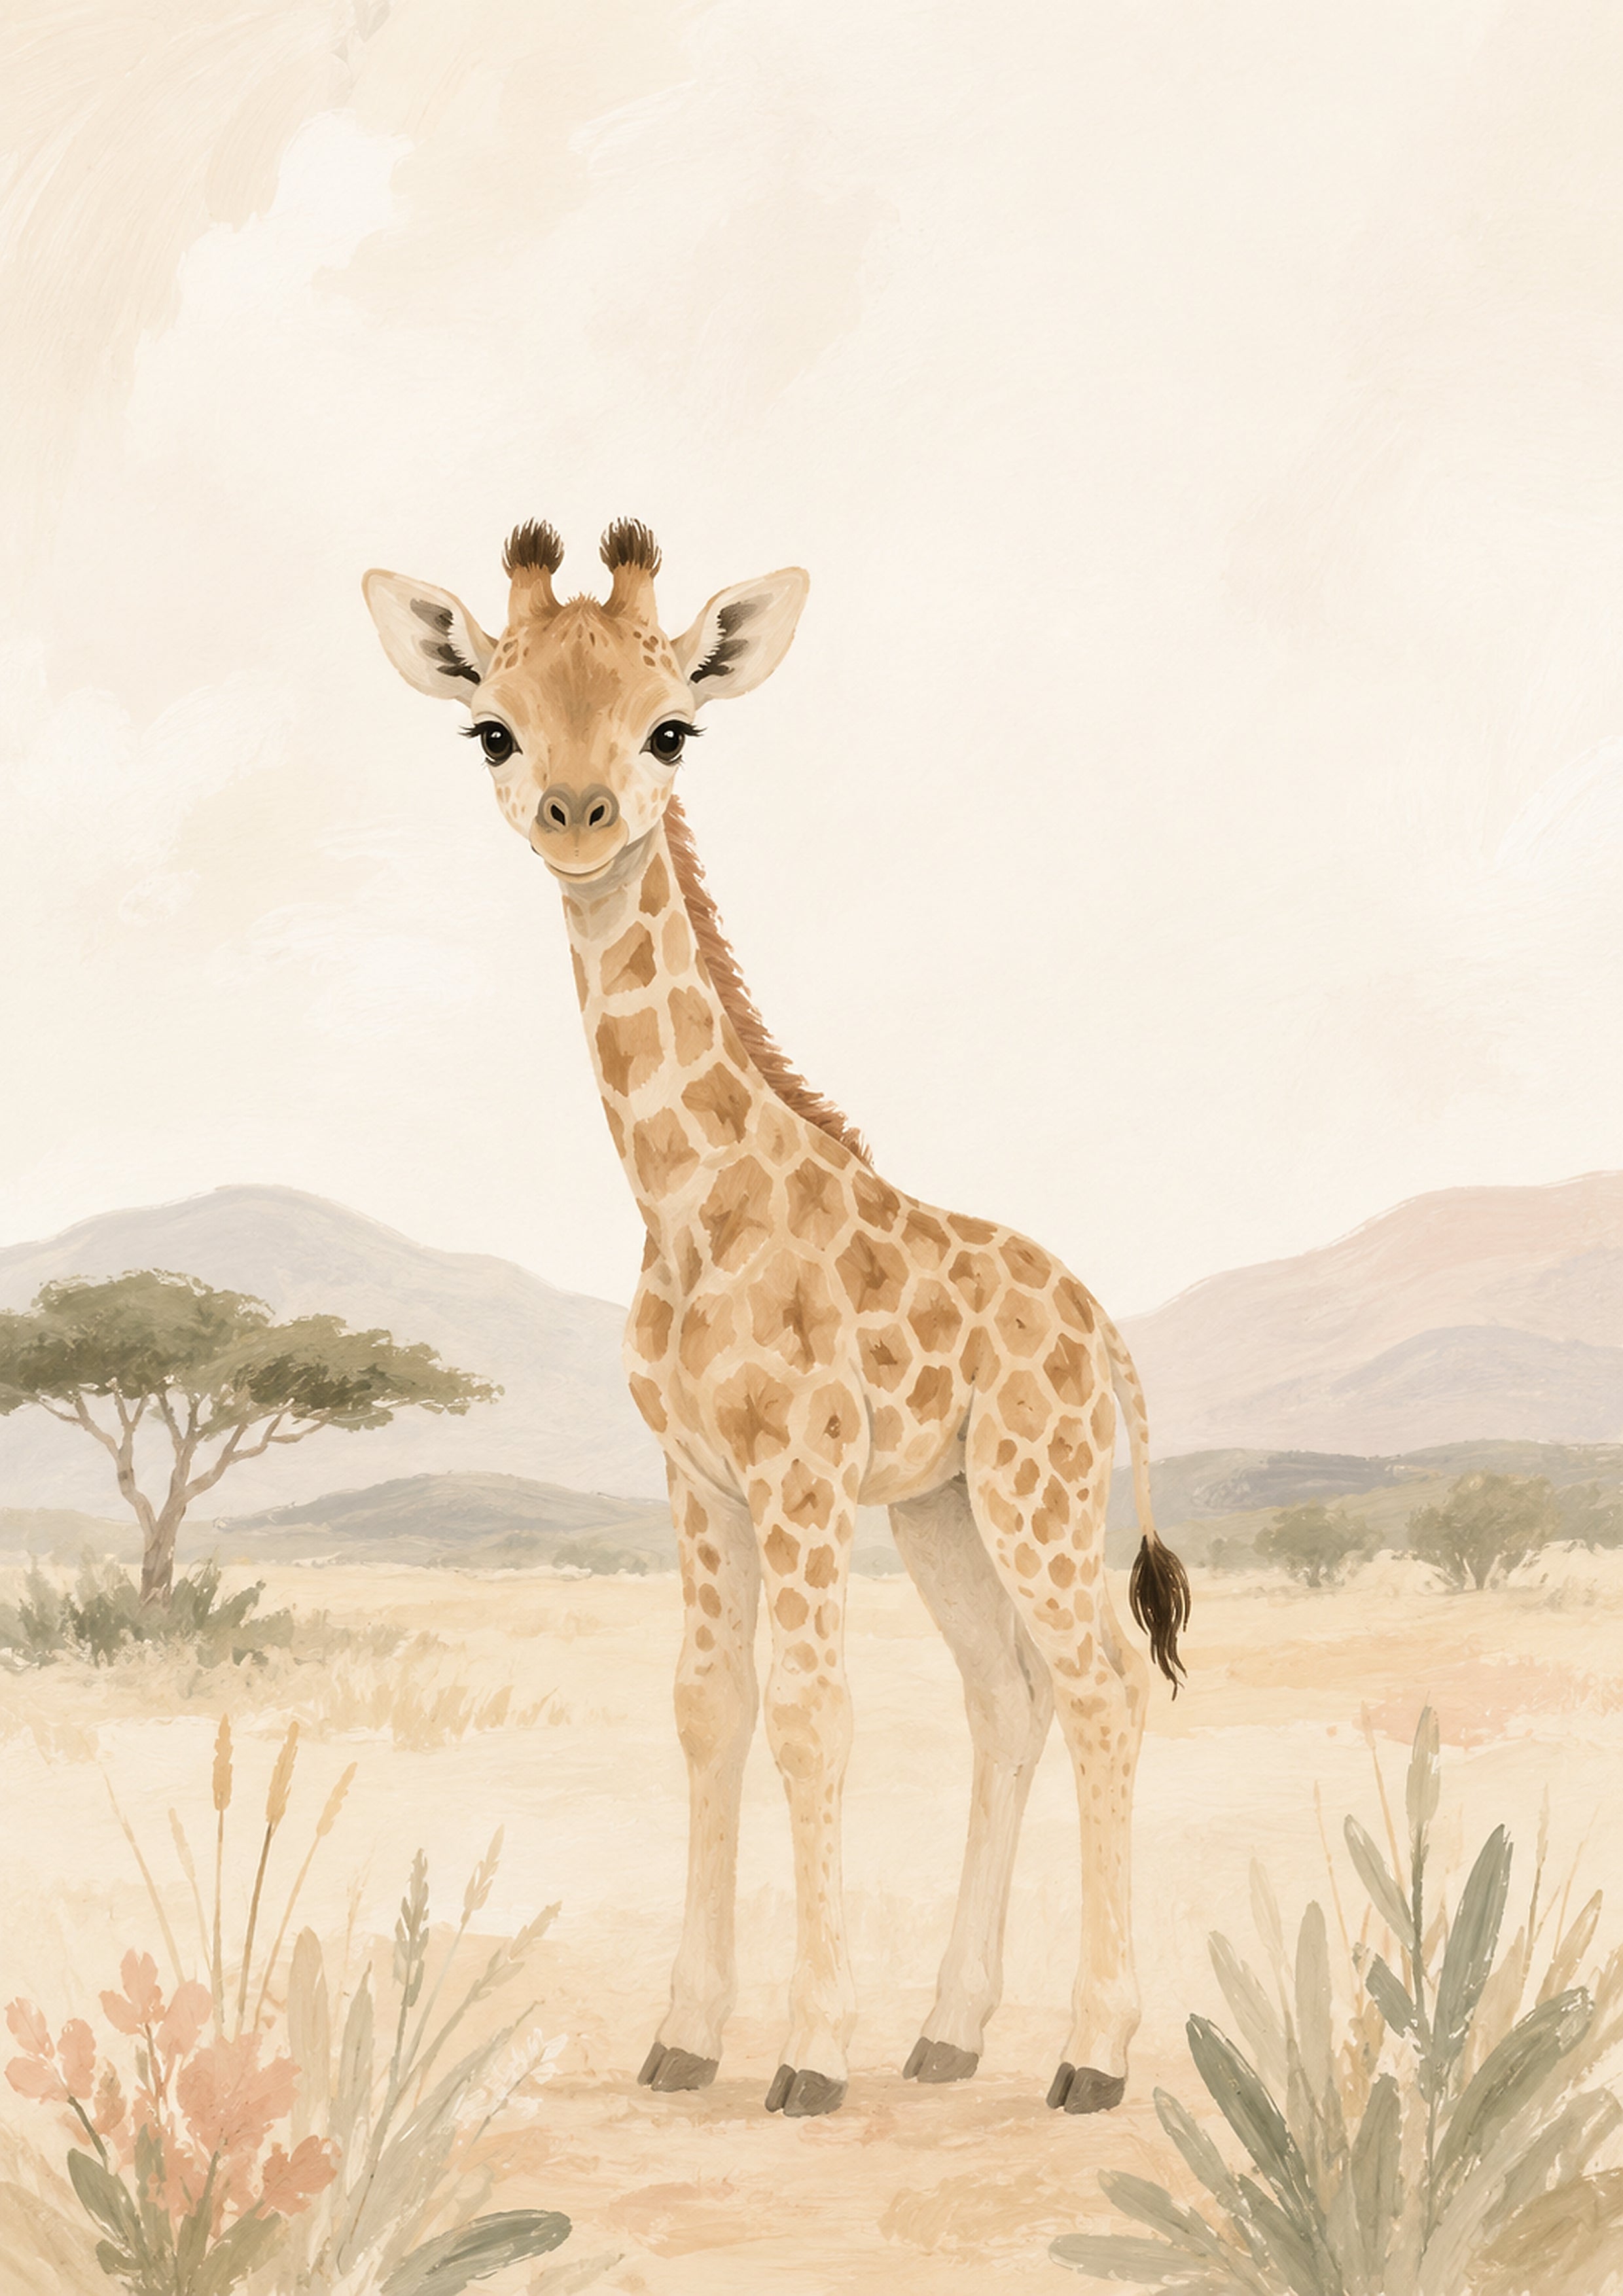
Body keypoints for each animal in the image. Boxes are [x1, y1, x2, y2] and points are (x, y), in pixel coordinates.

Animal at [363, 518, 1191, 2120]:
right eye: (493, 726)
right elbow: (709, 1707)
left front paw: (808, 2052)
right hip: (940, 1507)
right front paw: (687, 2037)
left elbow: (814, 1715)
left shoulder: (800, 1470)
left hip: (1034, 1489)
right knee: (1007, 1700)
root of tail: (1101, 1326)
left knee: (1103, 1686)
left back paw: (1092, 2054)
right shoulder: (698, 1475)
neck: (690, 1203)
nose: (577, 812)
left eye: (671, 727)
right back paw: (949, 2032)